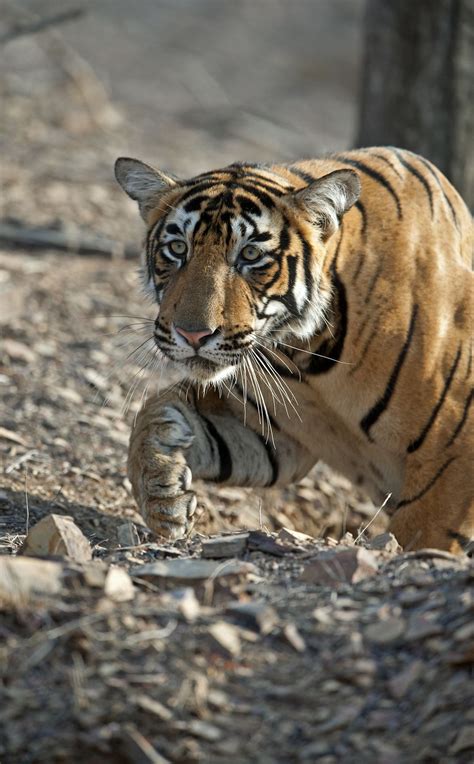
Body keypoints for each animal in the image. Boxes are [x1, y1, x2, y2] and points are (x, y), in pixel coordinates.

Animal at [115, 148, 474, 556]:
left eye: (250, 254)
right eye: (177, 249)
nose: (193, 334)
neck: (307, 352)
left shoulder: (454, 456)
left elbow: (422, 533)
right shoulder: (270, 426)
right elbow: (154, 408)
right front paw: (162, 490)